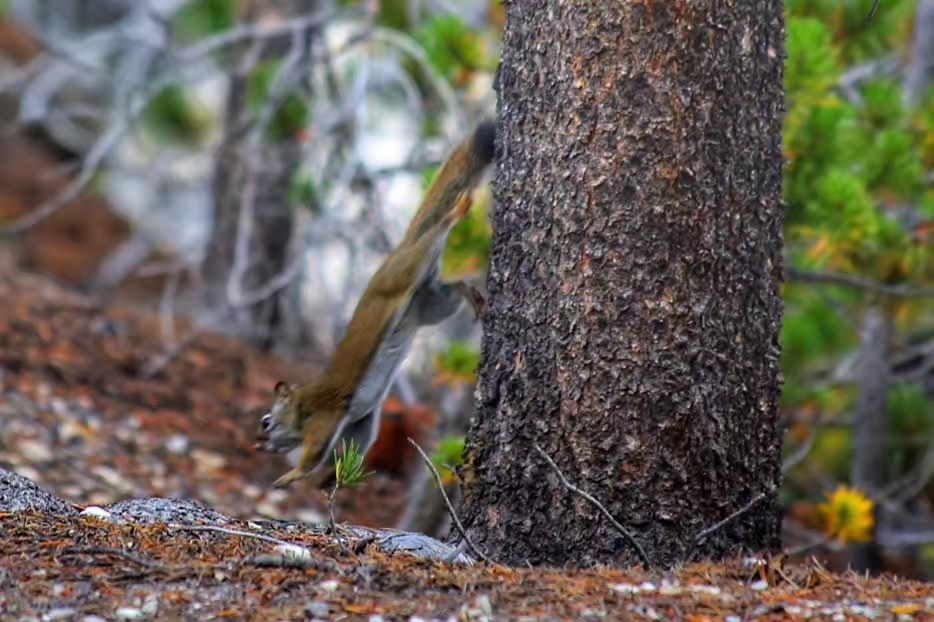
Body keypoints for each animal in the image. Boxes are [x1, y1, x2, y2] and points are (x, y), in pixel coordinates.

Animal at [252, 120, 494, 492]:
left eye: (267, 421)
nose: (259, 445)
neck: (304, 403)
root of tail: (398, 249)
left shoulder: (326, 415)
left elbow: (315, 453)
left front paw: (291, 476)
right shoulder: (360, 422)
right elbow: (356, 446)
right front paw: (330, 480)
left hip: (406, 270)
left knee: (436, 232)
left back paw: (456, 212)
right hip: (429, 303)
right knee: (451, 289)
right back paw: (473, 296)